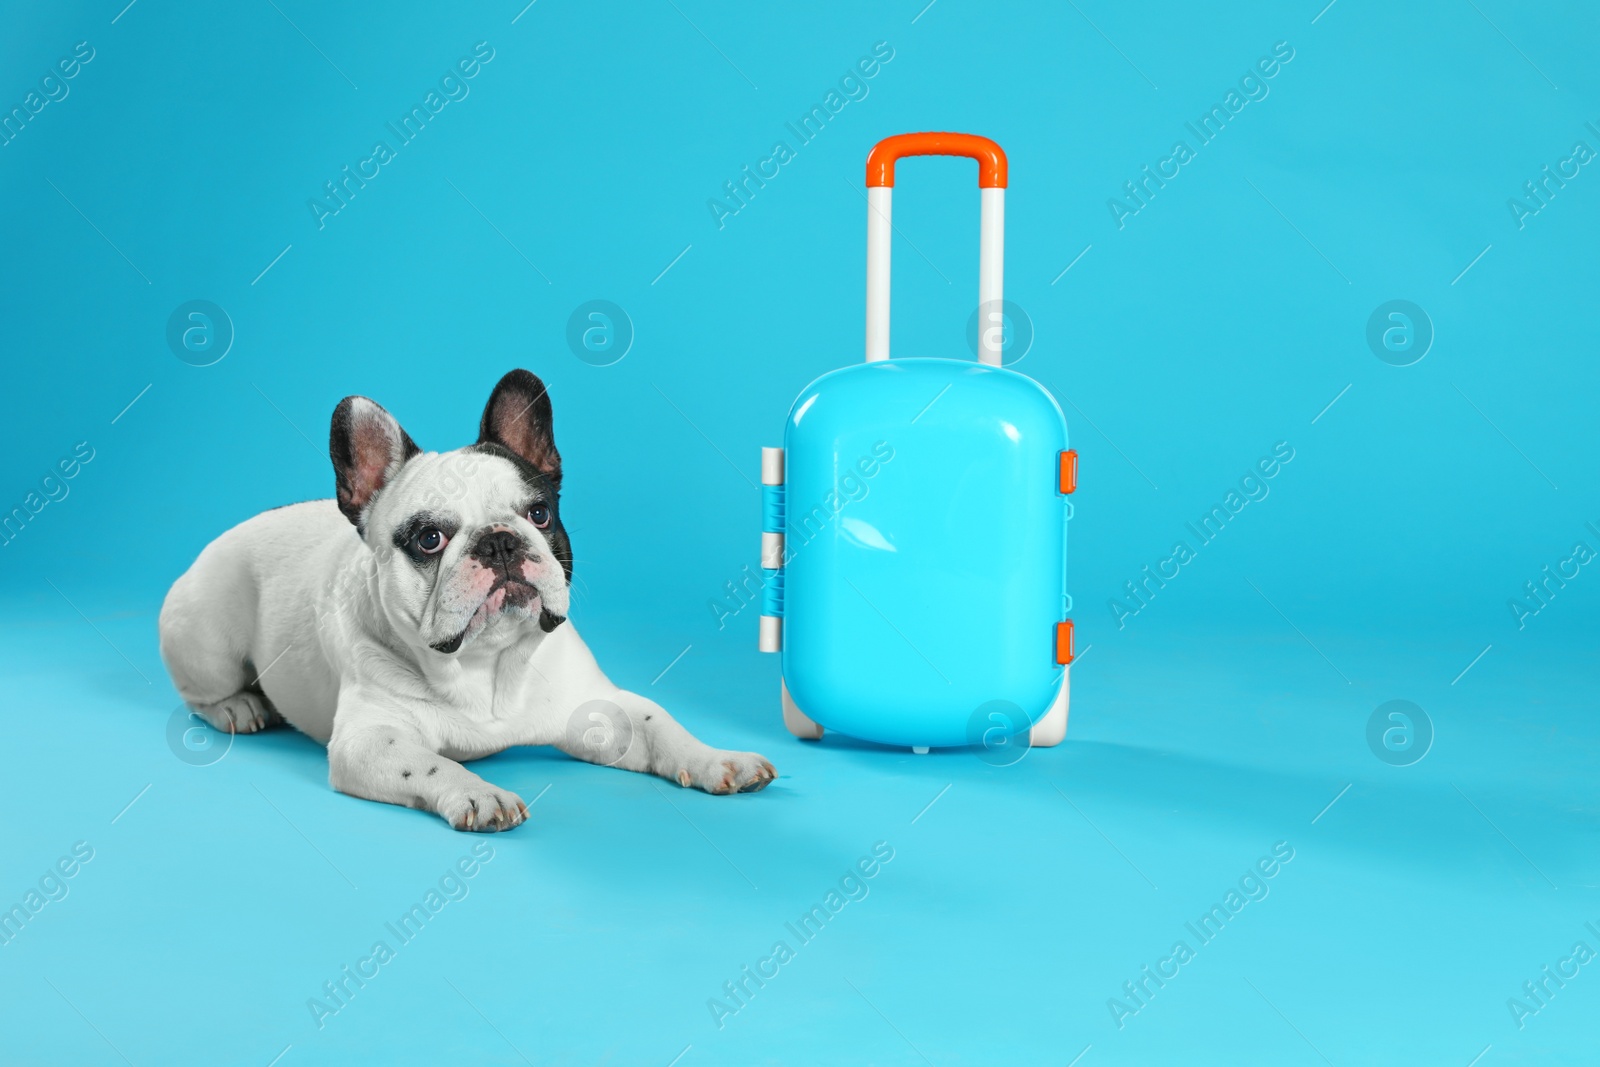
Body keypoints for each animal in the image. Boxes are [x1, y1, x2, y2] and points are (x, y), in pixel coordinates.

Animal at [159, 371, 777, 831]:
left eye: (539, 514)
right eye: (429, 538)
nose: (499, 541)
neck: (488, 663)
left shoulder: (598, 709)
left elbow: (660, 726)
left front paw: (718, 759)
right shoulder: (369, 740)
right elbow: (427, 765)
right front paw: (478, 793)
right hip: (206, 637)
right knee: (201, 693)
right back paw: (238, 707)